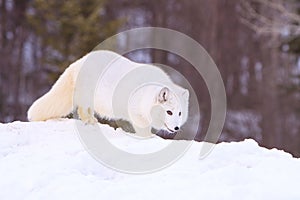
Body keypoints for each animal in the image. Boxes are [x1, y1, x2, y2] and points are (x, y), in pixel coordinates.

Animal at [27, 50, 188, 136]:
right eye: (169, 112)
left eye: (180, 113)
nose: (176, 128)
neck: (145, 95)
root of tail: (77, 63)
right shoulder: (137, 115)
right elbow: (144, 131)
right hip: (87, 95)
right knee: (82, 110)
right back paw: (89, 121)